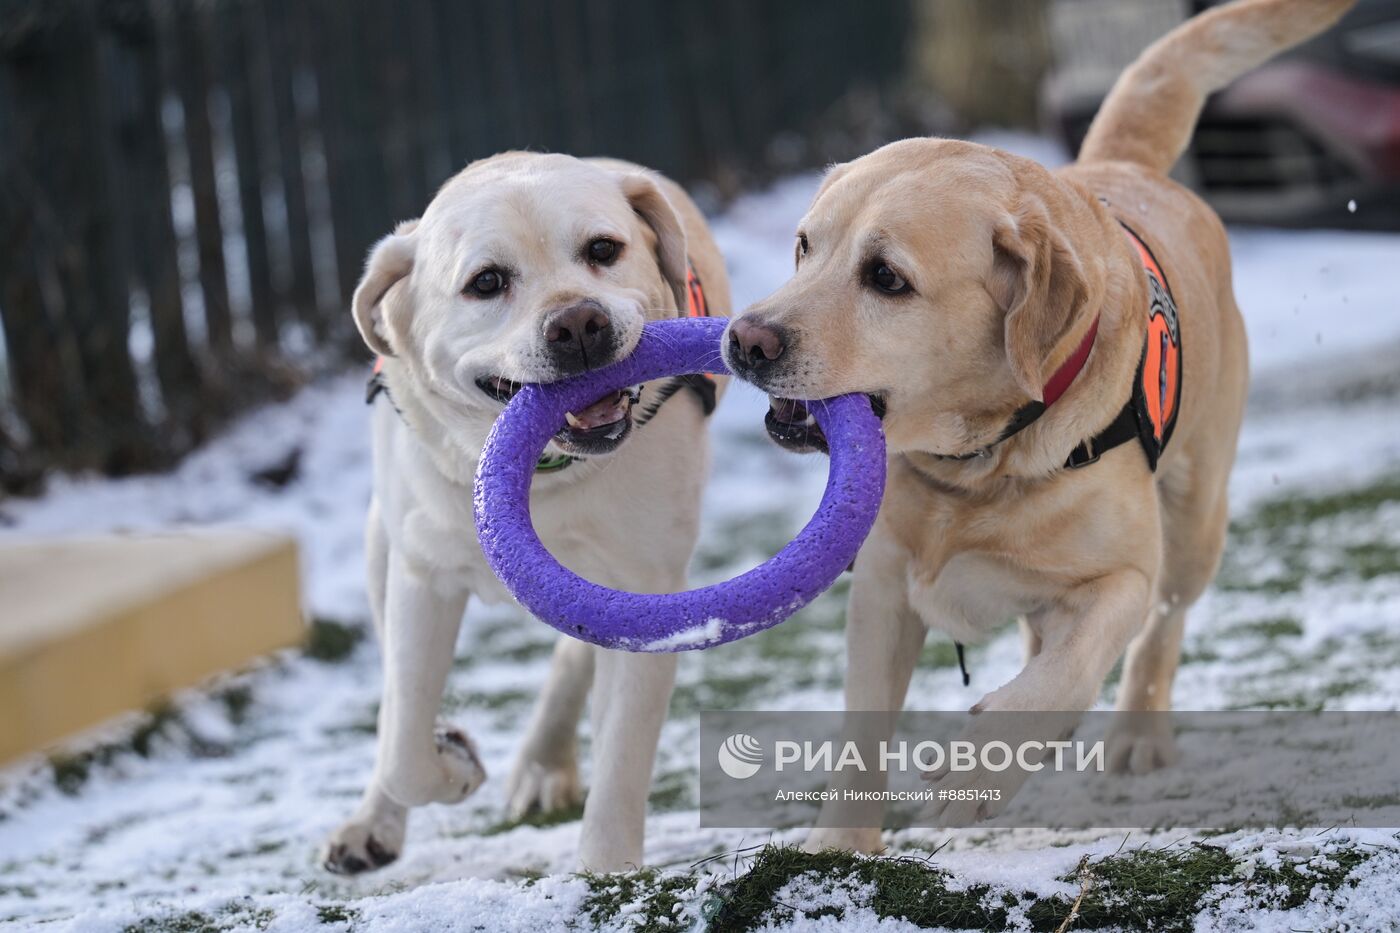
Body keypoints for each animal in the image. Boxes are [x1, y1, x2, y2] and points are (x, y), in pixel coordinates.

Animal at [322, 152, 728, 874]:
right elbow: (403, 742)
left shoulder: (646, 588)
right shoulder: (422, 577)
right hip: (378, 544)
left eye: (603, 250)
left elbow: (623, 754)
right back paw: (372, 823)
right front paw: (452, 762)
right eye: (486, 282)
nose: (578, 324)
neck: (541, 477)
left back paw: (543, 764)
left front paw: (604, 869)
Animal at [722, 0, 1355, 846]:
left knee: (1161, 626)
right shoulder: (881, 585)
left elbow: (1068, 670)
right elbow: (863, 731)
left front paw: (976, 769)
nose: (744, 339)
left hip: (1195, 521)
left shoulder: (1123, 574)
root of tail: (1128, 169)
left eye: (886, 277)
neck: (976, 465)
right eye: (803, 246)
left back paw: (1136, 734)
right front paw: (839, 846)